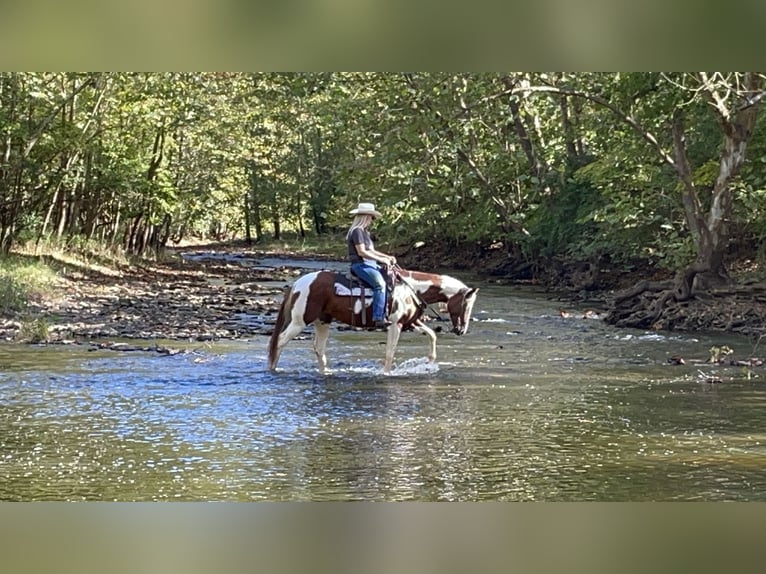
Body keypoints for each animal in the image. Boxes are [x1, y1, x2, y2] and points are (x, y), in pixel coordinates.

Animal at [268, 268, 476, 376]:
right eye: (466, 305)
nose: (461, 330)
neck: (411, 289)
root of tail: (298, 283)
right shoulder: (395, 325)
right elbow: (390, 351)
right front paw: (386, 373)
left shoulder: (410, 323)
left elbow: (432, 335)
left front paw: (430, 361)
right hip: (300, 321)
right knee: (280, 341)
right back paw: (273, 369)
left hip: (322, 321)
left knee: (319, 348)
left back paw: (325, 372)